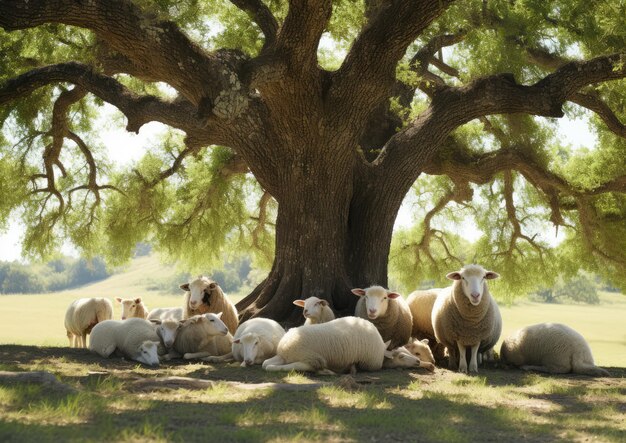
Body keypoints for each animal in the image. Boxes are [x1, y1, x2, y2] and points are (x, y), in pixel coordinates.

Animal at [258, 316, 424, 374]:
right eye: (401, 356)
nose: (418, 361)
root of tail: (286, 346)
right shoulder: (370, 365)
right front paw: (352, 368)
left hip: (284, 356)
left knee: (266, 364)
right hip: (310, 357)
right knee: (307, 366)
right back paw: (326, 371)